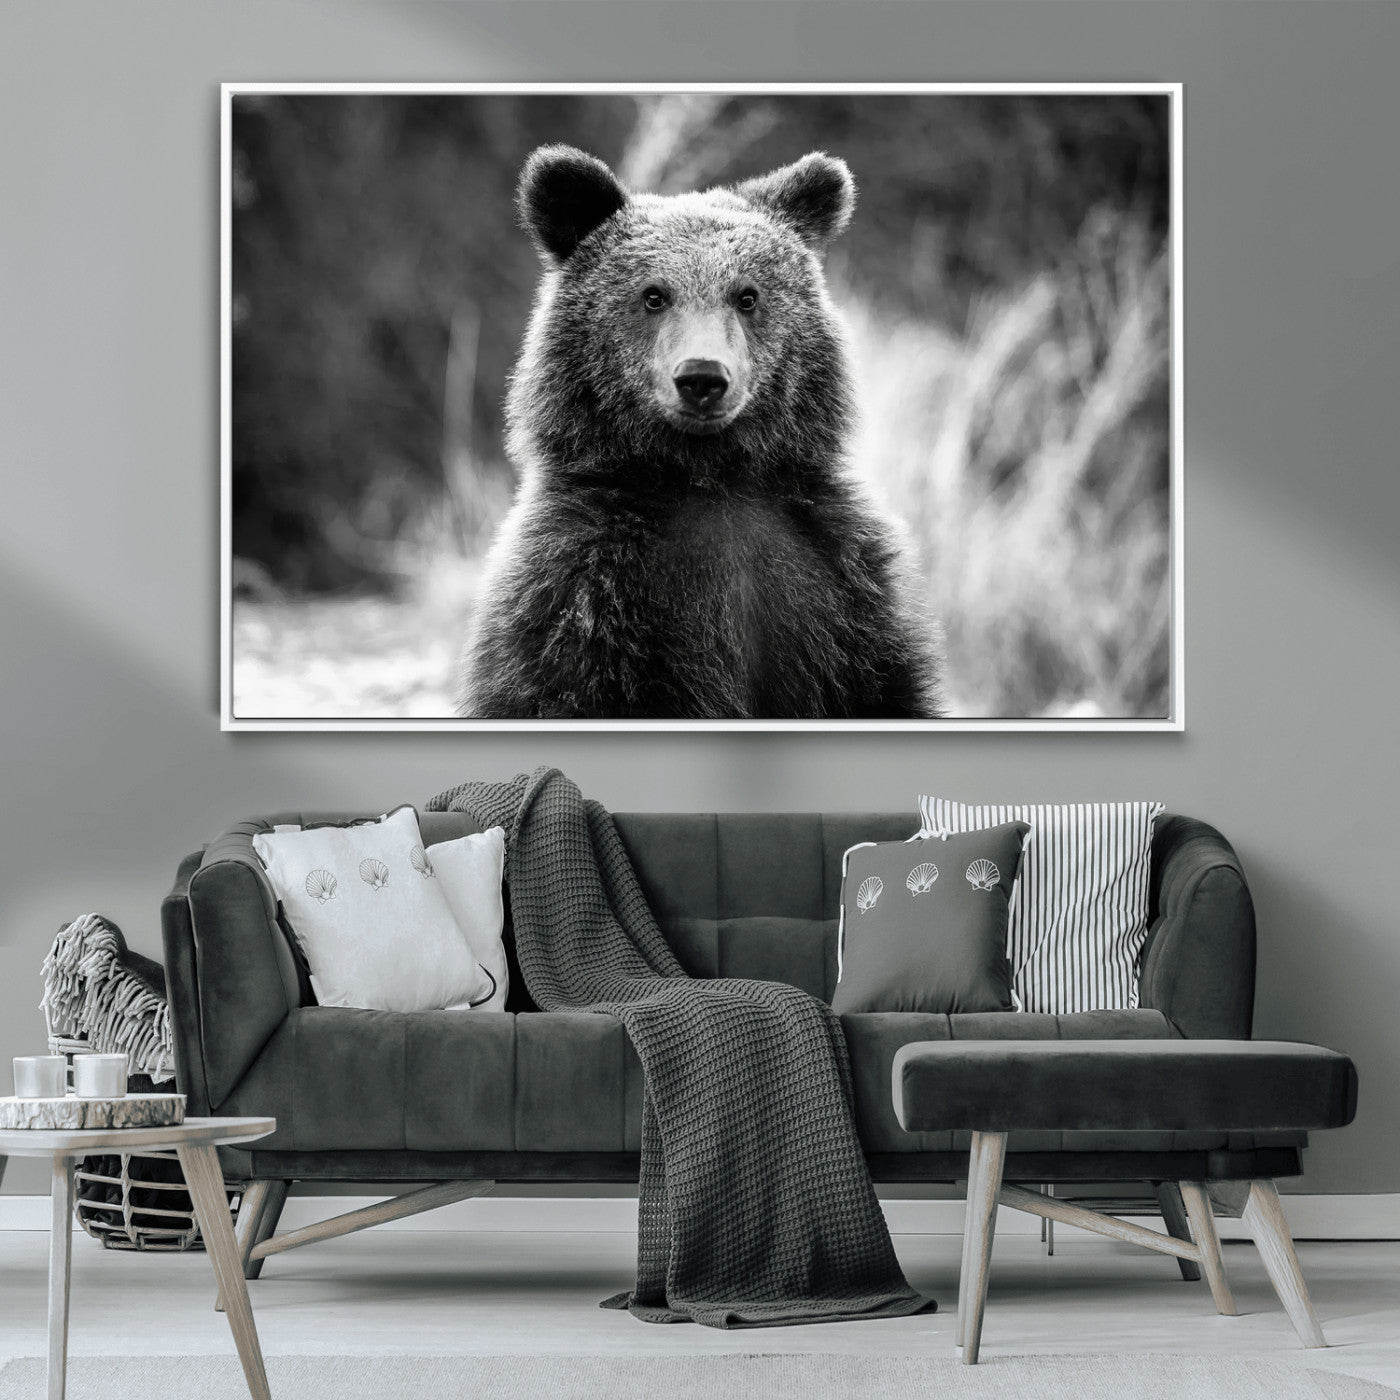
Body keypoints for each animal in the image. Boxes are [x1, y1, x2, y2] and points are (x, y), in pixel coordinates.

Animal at [459, 144, 941, 720]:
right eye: (653, 295)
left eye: (747, 296)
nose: (702, 378)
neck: (708, 478)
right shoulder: (579, 594)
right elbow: (555, 688)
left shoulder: (840, 586)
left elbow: (885, 687)